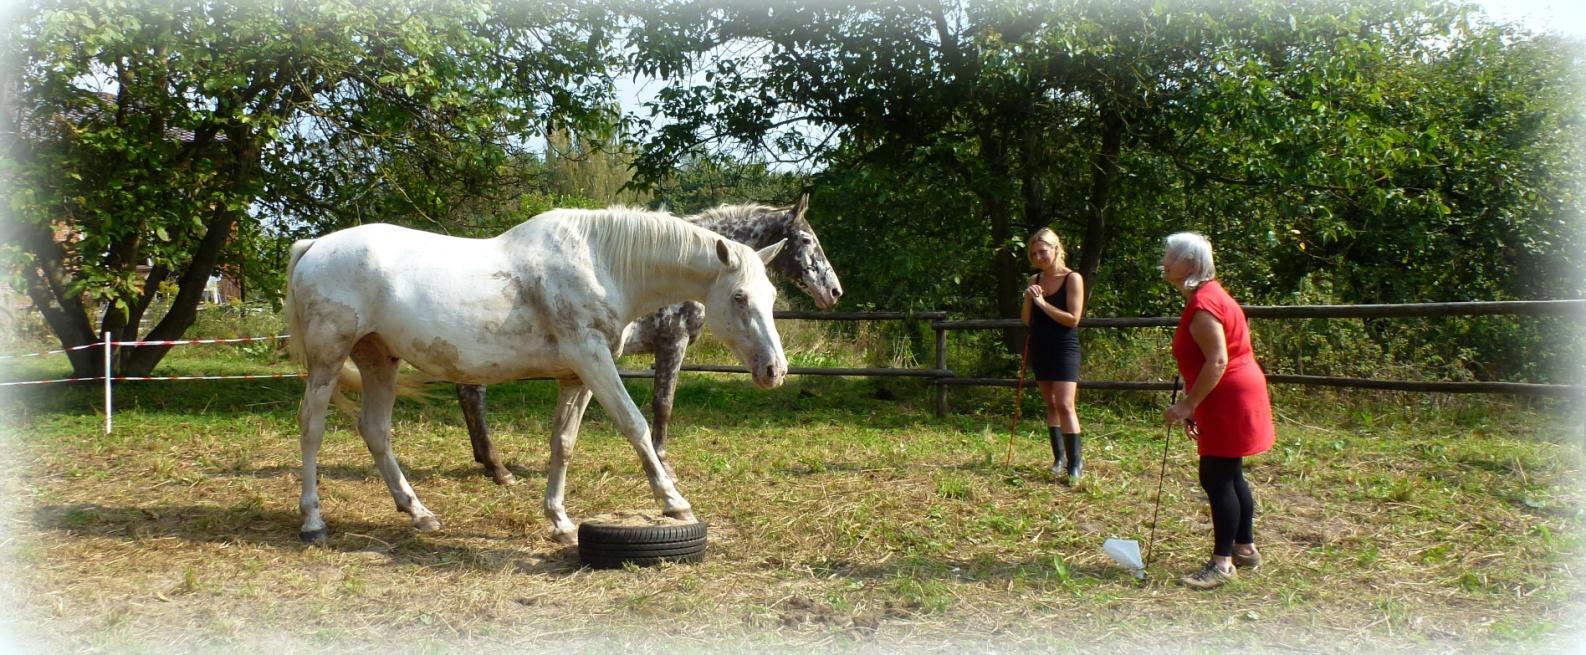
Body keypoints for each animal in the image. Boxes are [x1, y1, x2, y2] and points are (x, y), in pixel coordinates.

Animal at [283, 206, 786, 542]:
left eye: (773, 295)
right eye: (739, 297)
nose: (774, 370)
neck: (600, 264)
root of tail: (314, 247)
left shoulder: (576, 376)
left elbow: (563, 443)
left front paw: (559, 521)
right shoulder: (592, 359)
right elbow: (635, 425)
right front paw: (674, 502)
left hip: (378, 359)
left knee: (375, 430)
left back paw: (418, 512)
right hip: (329, 357)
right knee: (312, 426)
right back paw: (313, 522)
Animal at [456, 191, 843, 482]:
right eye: (806, 239)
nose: (835, 291)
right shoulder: (672, 343)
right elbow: (663, 403)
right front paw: (664, 463)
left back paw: (489, 463)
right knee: (472, 395)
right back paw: (498, 467)